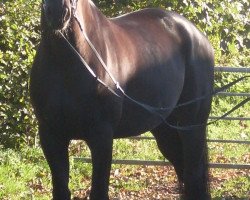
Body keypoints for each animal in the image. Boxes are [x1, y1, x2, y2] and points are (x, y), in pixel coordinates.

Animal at [29, 0, 213, 199]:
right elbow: (61, 190)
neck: (66, 64)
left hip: (192, 126)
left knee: (194, 176)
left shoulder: (102, 136)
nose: (57, 12)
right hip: (166, 130)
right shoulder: (51, 135)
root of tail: (198, 35)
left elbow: (99, 191)